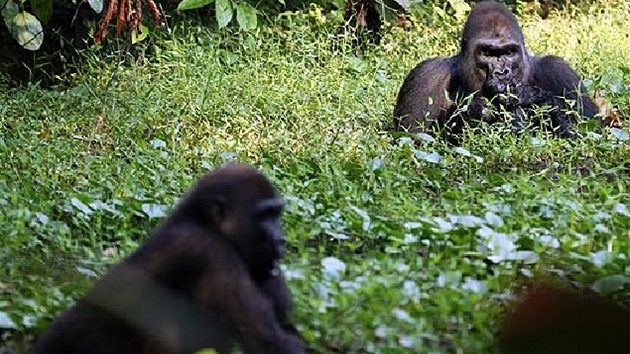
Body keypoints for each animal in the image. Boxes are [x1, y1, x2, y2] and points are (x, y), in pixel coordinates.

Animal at [33, 165, 308, 354]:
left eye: (277, 214)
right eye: (264, 216)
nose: (279, 240)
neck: (201, 221)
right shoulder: (207, 251)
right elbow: (264, 337)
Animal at [396, 0, 596, 144]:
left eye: (509, 52)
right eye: (488, 53)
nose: (502, 73)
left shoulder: (560, 72)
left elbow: (591, 136)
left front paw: (539, 101)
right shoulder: (428, 74)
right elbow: (412, 141)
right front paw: (471, 114)